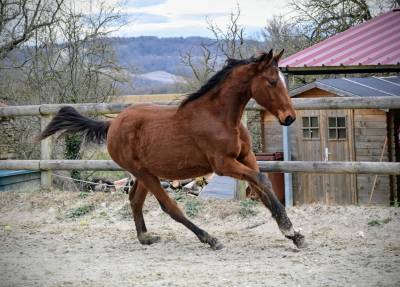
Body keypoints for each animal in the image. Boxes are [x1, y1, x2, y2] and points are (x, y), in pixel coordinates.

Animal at [38, 49, 306, 250]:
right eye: (272, 82)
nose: (290, 117)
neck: (219, 117)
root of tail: (112, 124)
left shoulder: (246, 157)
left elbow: (262, 187)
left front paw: (294, 234)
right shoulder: (223, 164)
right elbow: (261, 180)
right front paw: (288, 228)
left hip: (145, 174)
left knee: (134, 200)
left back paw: (146, 237)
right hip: (146, 174)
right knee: (170, 207)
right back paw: (210, 239)